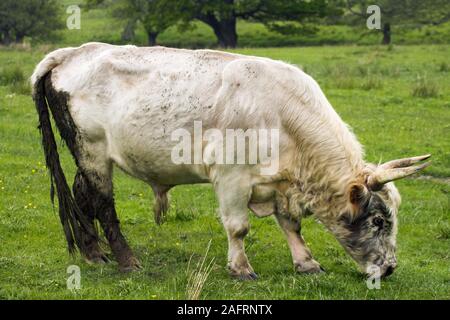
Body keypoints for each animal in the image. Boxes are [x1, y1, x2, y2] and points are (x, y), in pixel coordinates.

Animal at [29, 42, 430, 278]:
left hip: (89, 156)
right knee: (102, 202)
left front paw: (305, 261)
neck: (282, 113)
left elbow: (291, 225)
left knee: (82, 197)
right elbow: (238, 227)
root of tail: (73, 51)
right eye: (378, 220)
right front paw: (240, 267)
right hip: (92, 149)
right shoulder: (232, 178)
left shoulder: (280, 183)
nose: (389, 269)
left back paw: (93, 253)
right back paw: (125, 259)